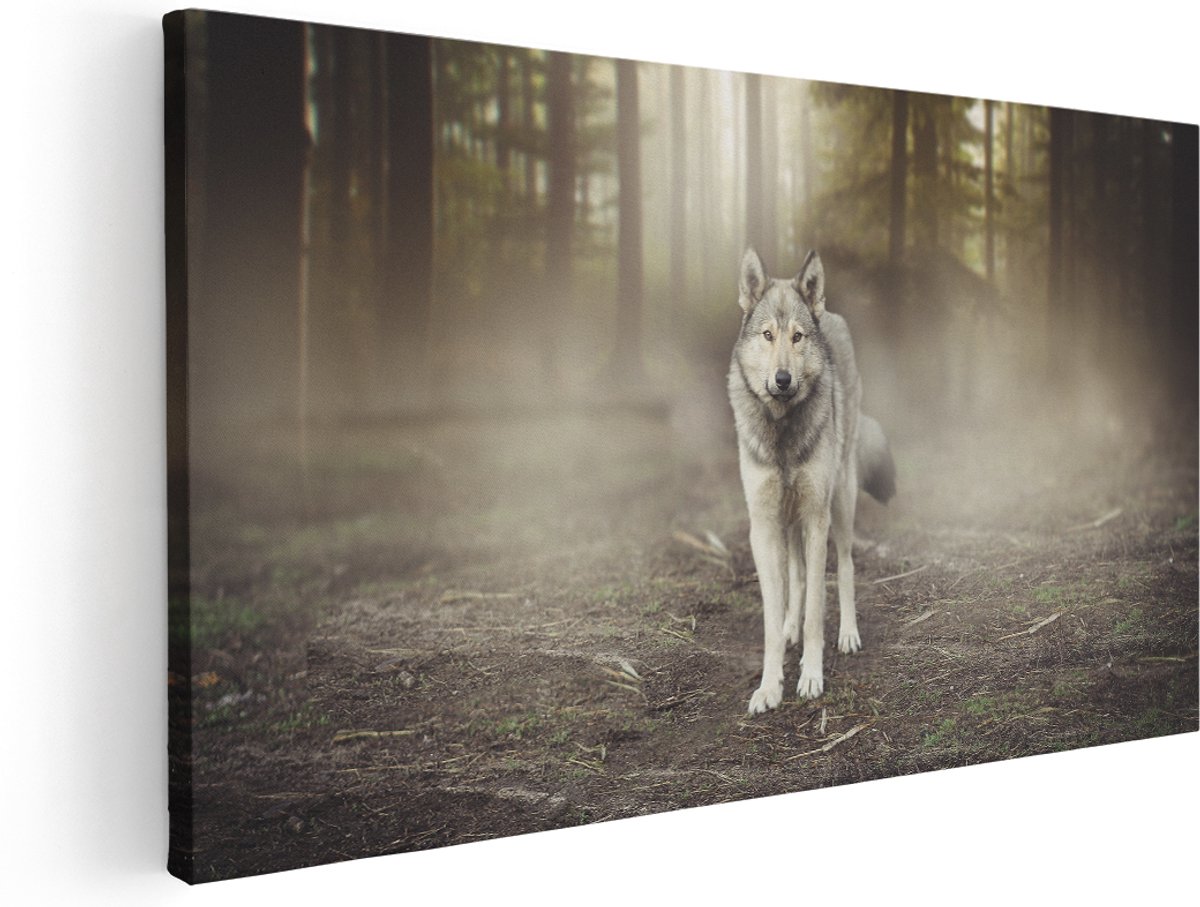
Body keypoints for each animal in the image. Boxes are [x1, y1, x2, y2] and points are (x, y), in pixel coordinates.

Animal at [728, 248, 895, 714]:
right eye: (768, 335)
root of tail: (831, 312)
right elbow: (774, 615)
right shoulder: (764, 526)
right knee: (797, 578)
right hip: (790, 522)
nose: (783, 379)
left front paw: (811, 675)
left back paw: (849, 634)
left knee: (846, 565)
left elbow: (818, 609)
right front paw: (769, 686)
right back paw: (791, 628)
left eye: (798, 337)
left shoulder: (817, 518)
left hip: (840, 502)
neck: (782, 431)